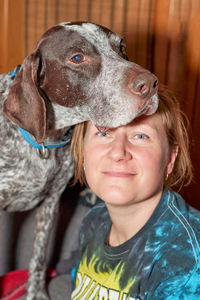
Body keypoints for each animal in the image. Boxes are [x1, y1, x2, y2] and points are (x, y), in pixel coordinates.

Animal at [0, 22, 158, 298]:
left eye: (121, 47)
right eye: (77, 58)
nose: (149, 84)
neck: (43, 142)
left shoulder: (50, 204)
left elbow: (38, 259)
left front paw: (36, 292)